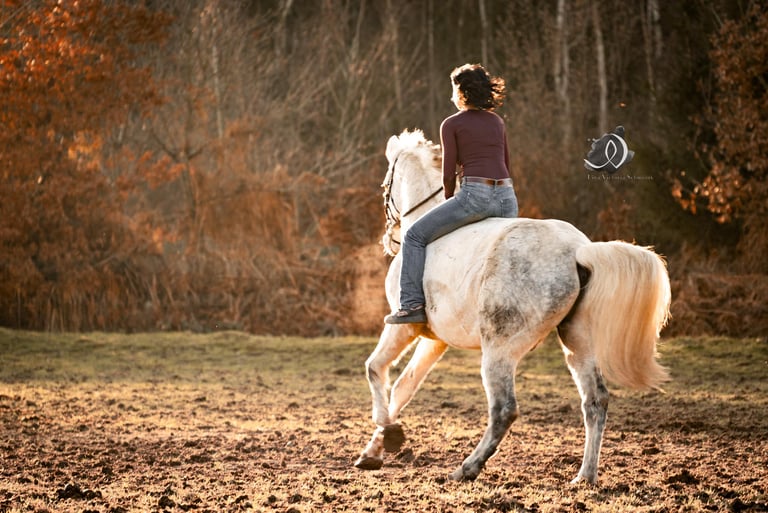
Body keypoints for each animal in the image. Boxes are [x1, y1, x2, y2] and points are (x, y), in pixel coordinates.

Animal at [354, 129, 671, 484]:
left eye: (386, 185)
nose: (389, 239)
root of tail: (578, 250)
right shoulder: (435, 341)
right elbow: (403, 387)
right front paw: (374, 450)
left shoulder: (403, 326)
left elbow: (375, 369)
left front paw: (388, 434)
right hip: (578, 343)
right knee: (595, 401)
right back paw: (584, 477)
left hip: (499, 351)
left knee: (504, 409)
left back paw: (467, 468)